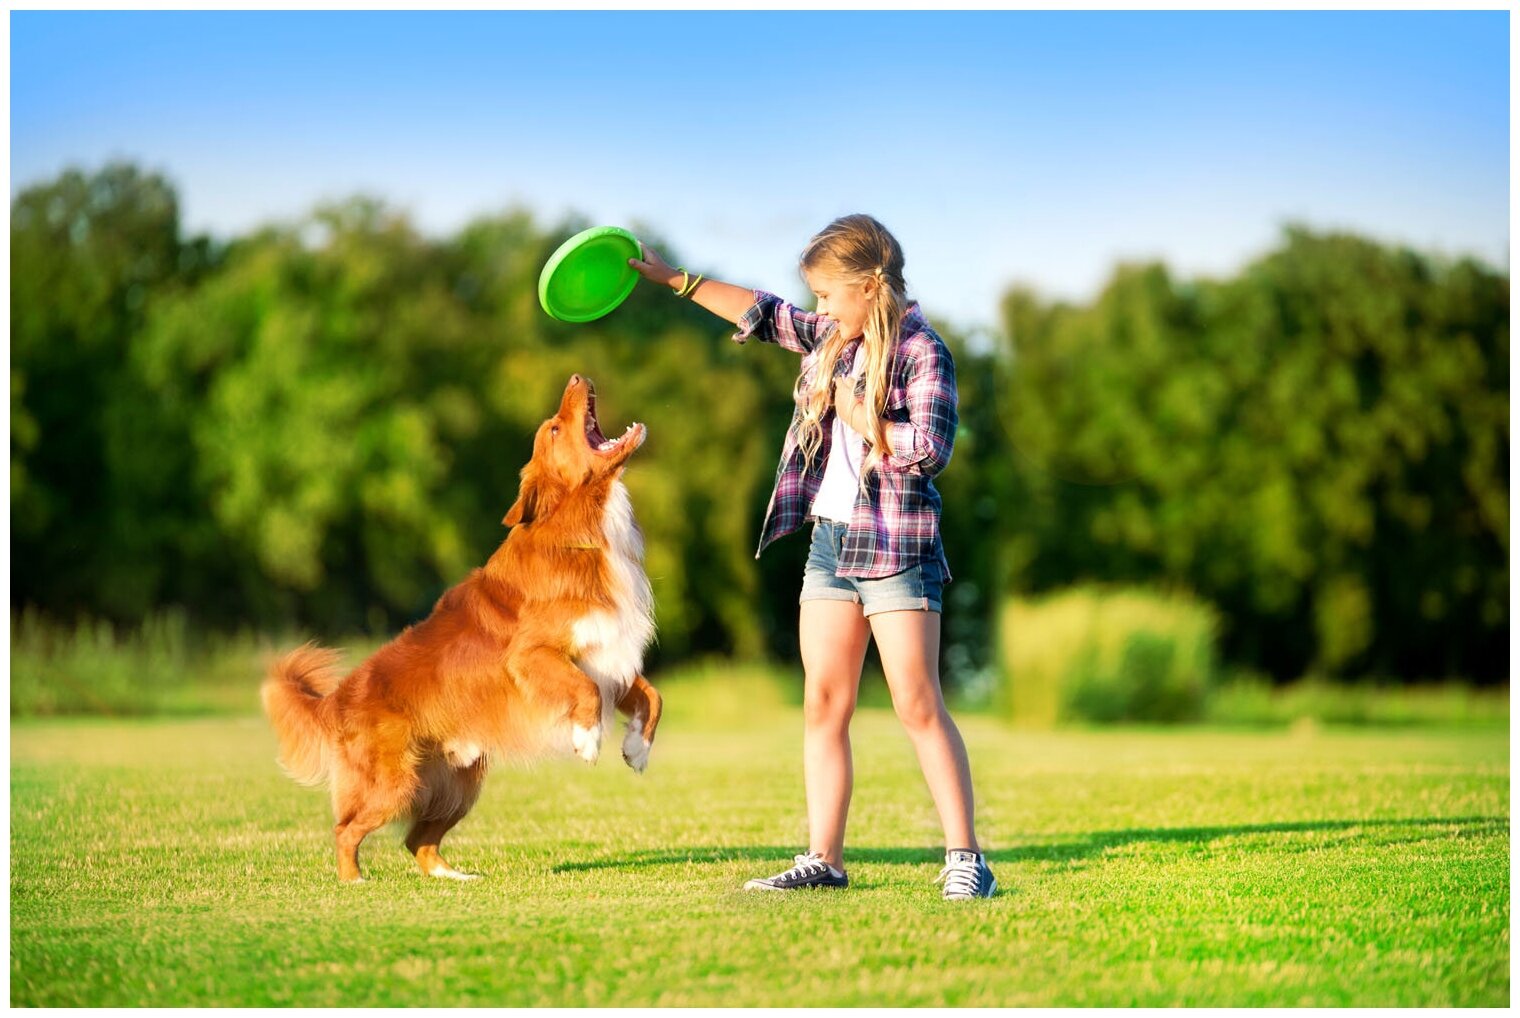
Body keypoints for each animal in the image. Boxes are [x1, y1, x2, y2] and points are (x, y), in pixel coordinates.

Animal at [259, 376, 659, 887]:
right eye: (553, 429)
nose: (576, 378)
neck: (581, 530)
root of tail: (336, 699)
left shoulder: (608, 653)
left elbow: (651, 696)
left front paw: (637, 750)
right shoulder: (533, 657)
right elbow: (584, 691)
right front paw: (587, 742)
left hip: (459, 785)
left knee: (418, 840)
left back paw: (454, 878)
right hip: (395, 784)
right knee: (346, 829)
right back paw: (354, 881)